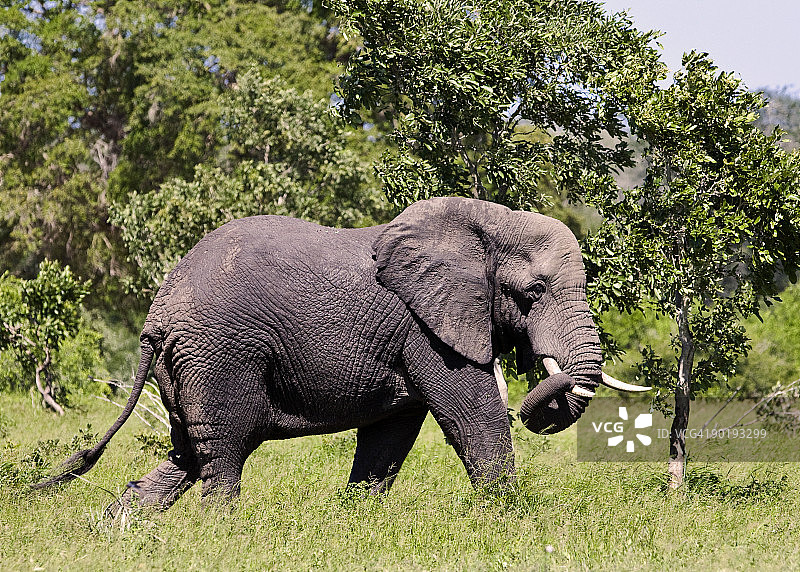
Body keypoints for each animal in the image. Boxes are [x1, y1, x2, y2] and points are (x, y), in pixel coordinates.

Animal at [37, 197, 648, 508]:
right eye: (532, 292)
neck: (486, 222)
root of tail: (157, 311)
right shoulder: (424, 325)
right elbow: (471, 412)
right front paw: (506, 517)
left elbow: (391, 434)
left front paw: (358, 519)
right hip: (218, 353)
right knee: (225, 451)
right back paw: (221, 531)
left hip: (182, 363)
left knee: (187, 452)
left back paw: (123, 528)